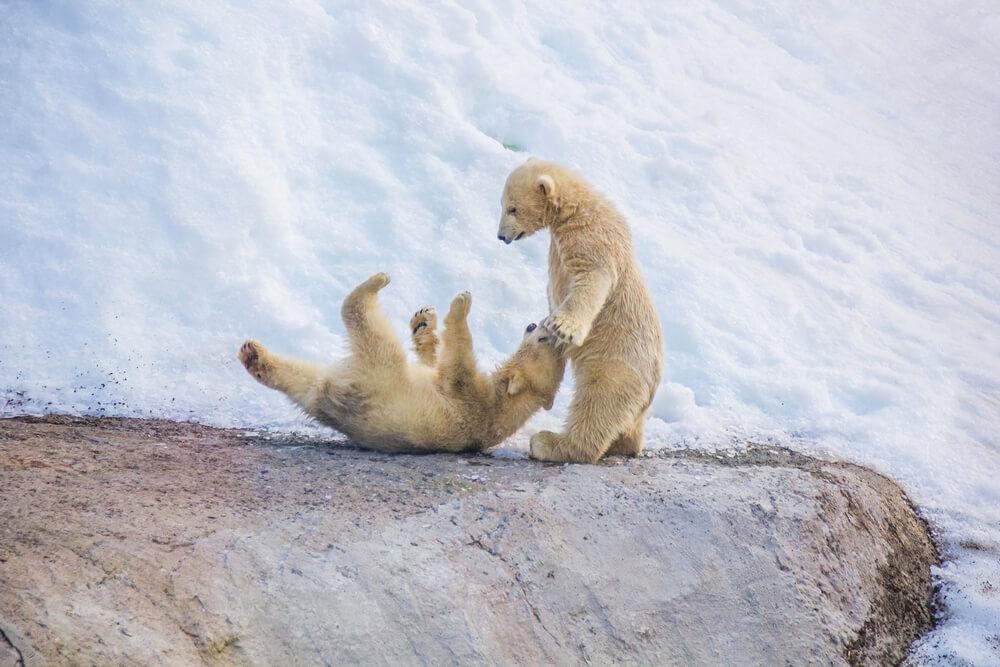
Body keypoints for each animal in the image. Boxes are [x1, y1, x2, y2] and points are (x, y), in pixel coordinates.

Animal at [234, 272, 564, 454]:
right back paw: (253, 356)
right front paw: (423, 321)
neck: (505, 404)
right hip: (337, 383)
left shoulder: (471, 399)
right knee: (300, 376)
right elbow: (434, 363)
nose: (535, 324)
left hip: (381, 375)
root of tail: (333, 398)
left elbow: (458, 362)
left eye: (544, 339)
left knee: (366, 324)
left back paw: (375, 282)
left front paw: (462, 303)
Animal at [494, 160, 664, 464]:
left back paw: (548, 442)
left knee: (597, 404)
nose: (501, 236)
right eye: (502, 204)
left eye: (512, 208)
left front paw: (561, 326)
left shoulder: (592, 237)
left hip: (616, 363)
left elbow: (591, 278)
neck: (577, 208)